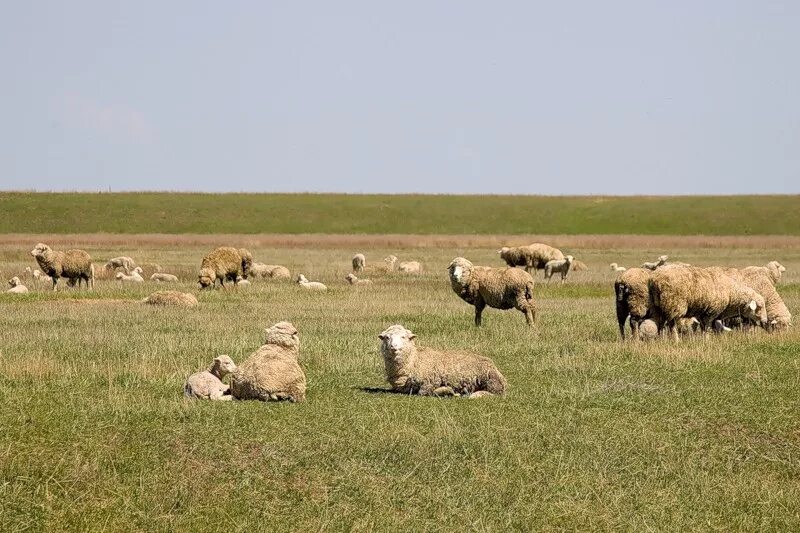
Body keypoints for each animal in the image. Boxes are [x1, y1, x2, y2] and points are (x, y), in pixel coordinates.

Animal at [376, 322, 504, 396]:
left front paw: (447, 391)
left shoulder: (429, 383)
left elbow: (424, 392)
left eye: (403, 337)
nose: (393, 347)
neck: (414, 360)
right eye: (387, 338)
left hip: (490, 381)